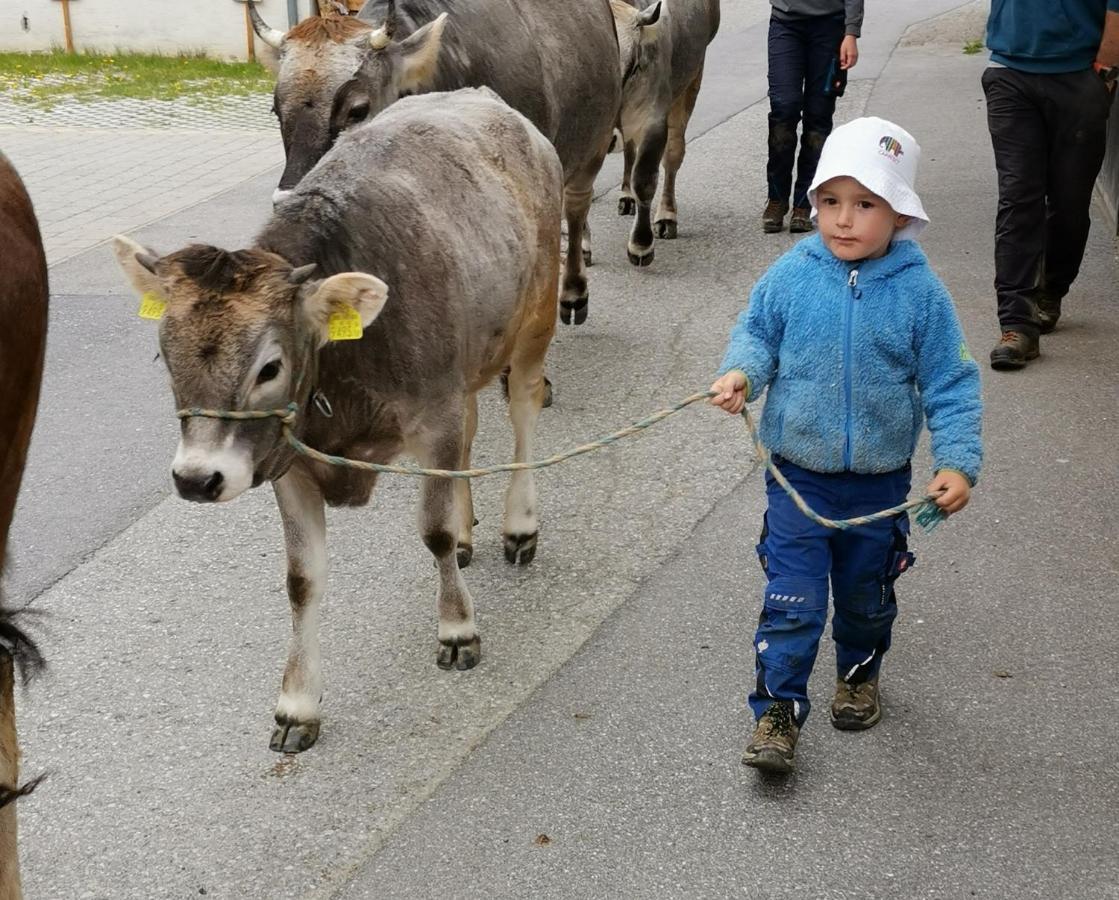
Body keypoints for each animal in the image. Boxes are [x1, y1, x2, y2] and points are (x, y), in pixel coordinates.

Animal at [115, 89, 559, 752]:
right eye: (163, 355)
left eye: (270, 366)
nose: (196, 478)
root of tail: (487, 100)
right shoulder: (290, 460)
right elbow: (302, 580)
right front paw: (297, 704)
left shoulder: (435, 419)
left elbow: (431, 532)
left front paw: (457, 628)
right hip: (470, 363)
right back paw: (469, 533)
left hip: (537, 315)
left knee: (524, 408)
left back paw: (518, 525)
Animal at [247, 0, 622, 326]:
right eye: (276, 109)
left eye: (357, 109)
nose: (286, 201)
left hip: (594, 143)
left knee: (576, 207)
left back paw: (573, 291)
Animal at [613, 0, 716, 265]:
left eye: (634, 66)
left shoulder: (654, 121)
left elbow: (644, 181)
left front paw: (641, 246)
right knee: (629, 150)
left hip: (692, 78)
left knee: (673, 155)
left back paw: (667, 216)